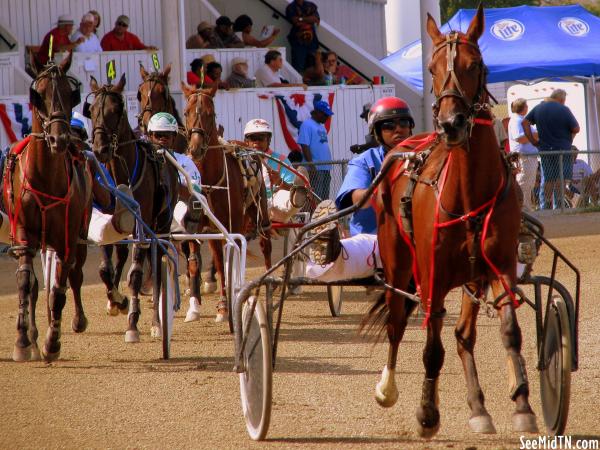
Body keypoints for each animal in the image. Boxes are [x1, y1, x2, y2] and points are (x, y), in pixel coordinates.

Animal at [2, 53, 92, 362]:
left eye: (69, 93)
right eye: (38, 95)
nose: (58, 139)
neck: (45, 177)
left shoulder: (65, 237)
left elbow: (60, 289)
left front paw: (52, 342)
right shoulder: (23, 234)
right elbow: (25, 284)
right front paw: (22, 341)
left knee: (75, 275)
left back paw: (76, 320)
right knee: (31, 286)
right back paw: (31, 334)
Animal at [86, 74, 178, 342]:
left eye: (115, 110)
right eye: (92, 110)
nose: (100, 149)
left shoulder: (142, 226)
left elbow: (137, 274)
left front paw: (133, 324)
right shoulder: (106, 222)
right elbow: (105, 269)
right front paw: (117, 300)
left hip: (161, 224)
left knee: (155, 266)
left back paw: (156, 322)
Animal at [179, 84, 270, 322]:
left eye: (210, 114)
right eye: (186, 112)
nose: (196, 148)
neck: (209, 181)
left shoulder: (233, 223)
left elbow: (231, 260)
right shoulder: (200, 228)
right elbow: (200, 263)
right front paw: (202, 307)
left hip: (260, 210)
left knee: (265, 244)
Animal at [368, 6, 536, 436]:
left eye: (474, 64)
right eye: (430, 67)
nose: (450, 124)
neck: (469, 192)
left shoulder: (500, 266)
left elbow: (510, 332)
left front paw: (522, 404)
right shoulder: (433, 276)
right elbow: (431, 349)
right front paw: (427, 413)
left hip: (472, 275)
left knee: (463, 335)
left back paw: (478, 407)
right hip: (398, 263)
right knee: (396, 322)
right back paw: (387, 388)